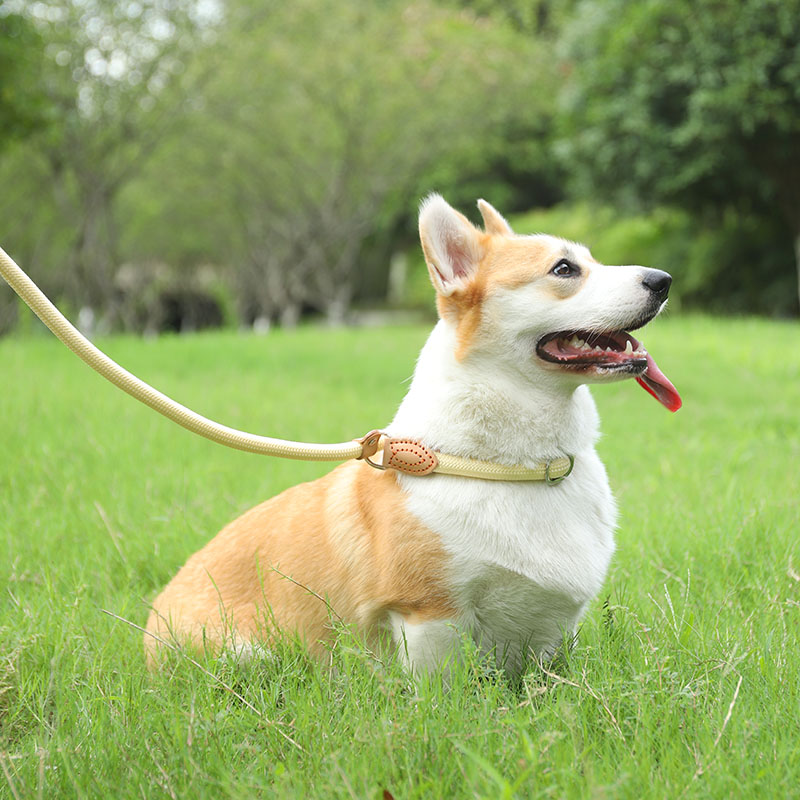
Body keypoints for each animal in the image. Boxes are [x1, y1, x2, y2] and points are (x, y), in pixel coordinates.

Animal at [145, 194, 680, 676]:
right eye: (565, 269)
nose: (664, 280)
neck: (517, 467)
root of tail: (153, 615)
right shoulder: (431, 616)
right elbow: (443, 694)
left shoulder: (549, 632)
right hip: (248, 656)